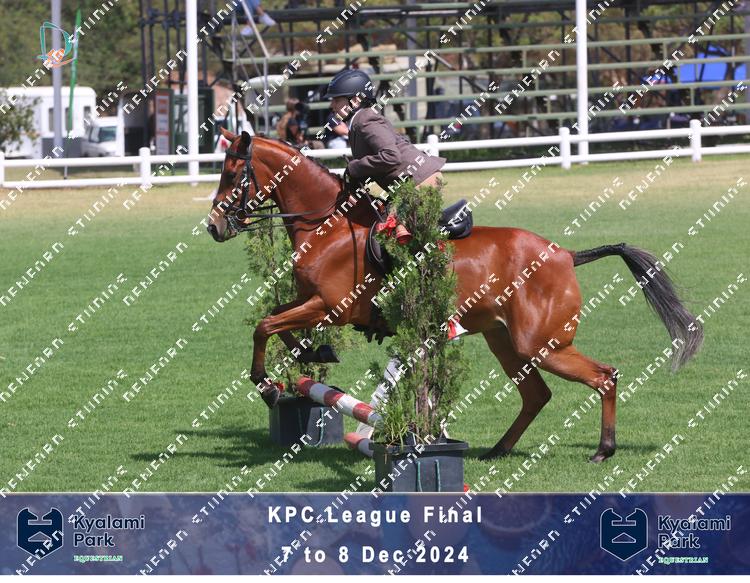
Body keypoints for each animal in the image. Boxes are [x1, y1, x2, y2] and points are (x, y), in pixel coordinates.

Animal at [207, 127, 703, 463]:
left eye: (232, 173)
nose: (213, 227)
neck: (326, 224)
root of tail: (565, 254)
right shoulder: (311, 303)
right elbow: (278, 322)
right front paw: (314, 356)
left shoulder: (332, 307)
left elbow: (264, 326)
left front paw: (267, 387)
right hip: (504, 341)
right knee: (536, 395)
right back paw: (497, 449)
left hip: (541, 344)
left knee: (604, 377)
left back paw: (603, 450)